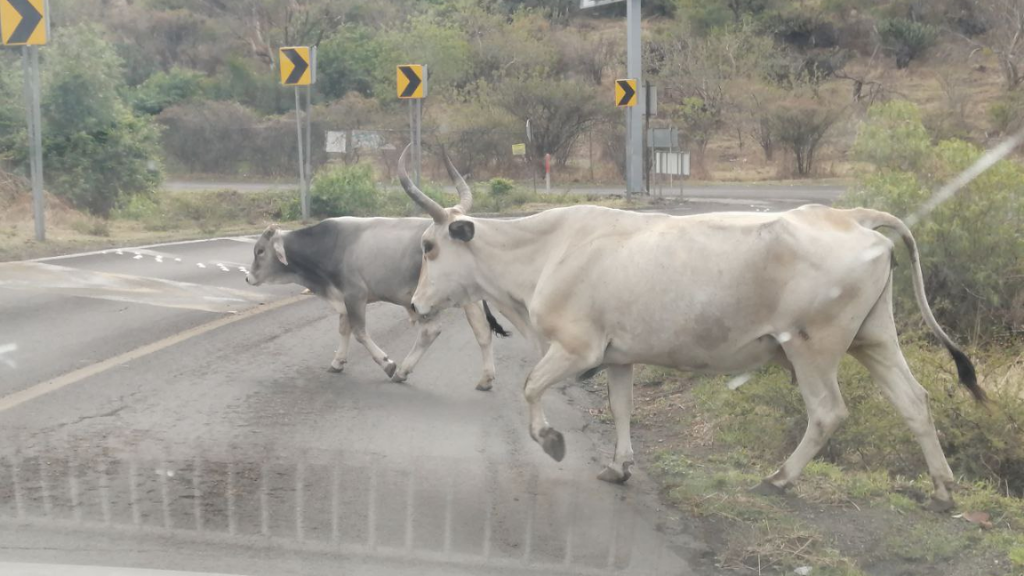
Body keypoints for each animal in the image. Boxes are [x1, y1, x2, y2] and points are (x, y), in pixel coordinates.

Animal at [243, 216, 507, 389]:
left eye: (260, 251)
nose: (248, 277)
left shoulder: (355, 294)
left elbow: (359, 332)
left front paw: (387, 363)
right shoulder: (343, 297)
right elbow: (344, 329)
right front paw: (337, 361)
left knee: (431, 331)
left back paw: (401, 371)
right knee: (482, 331)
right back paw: (486, 378)